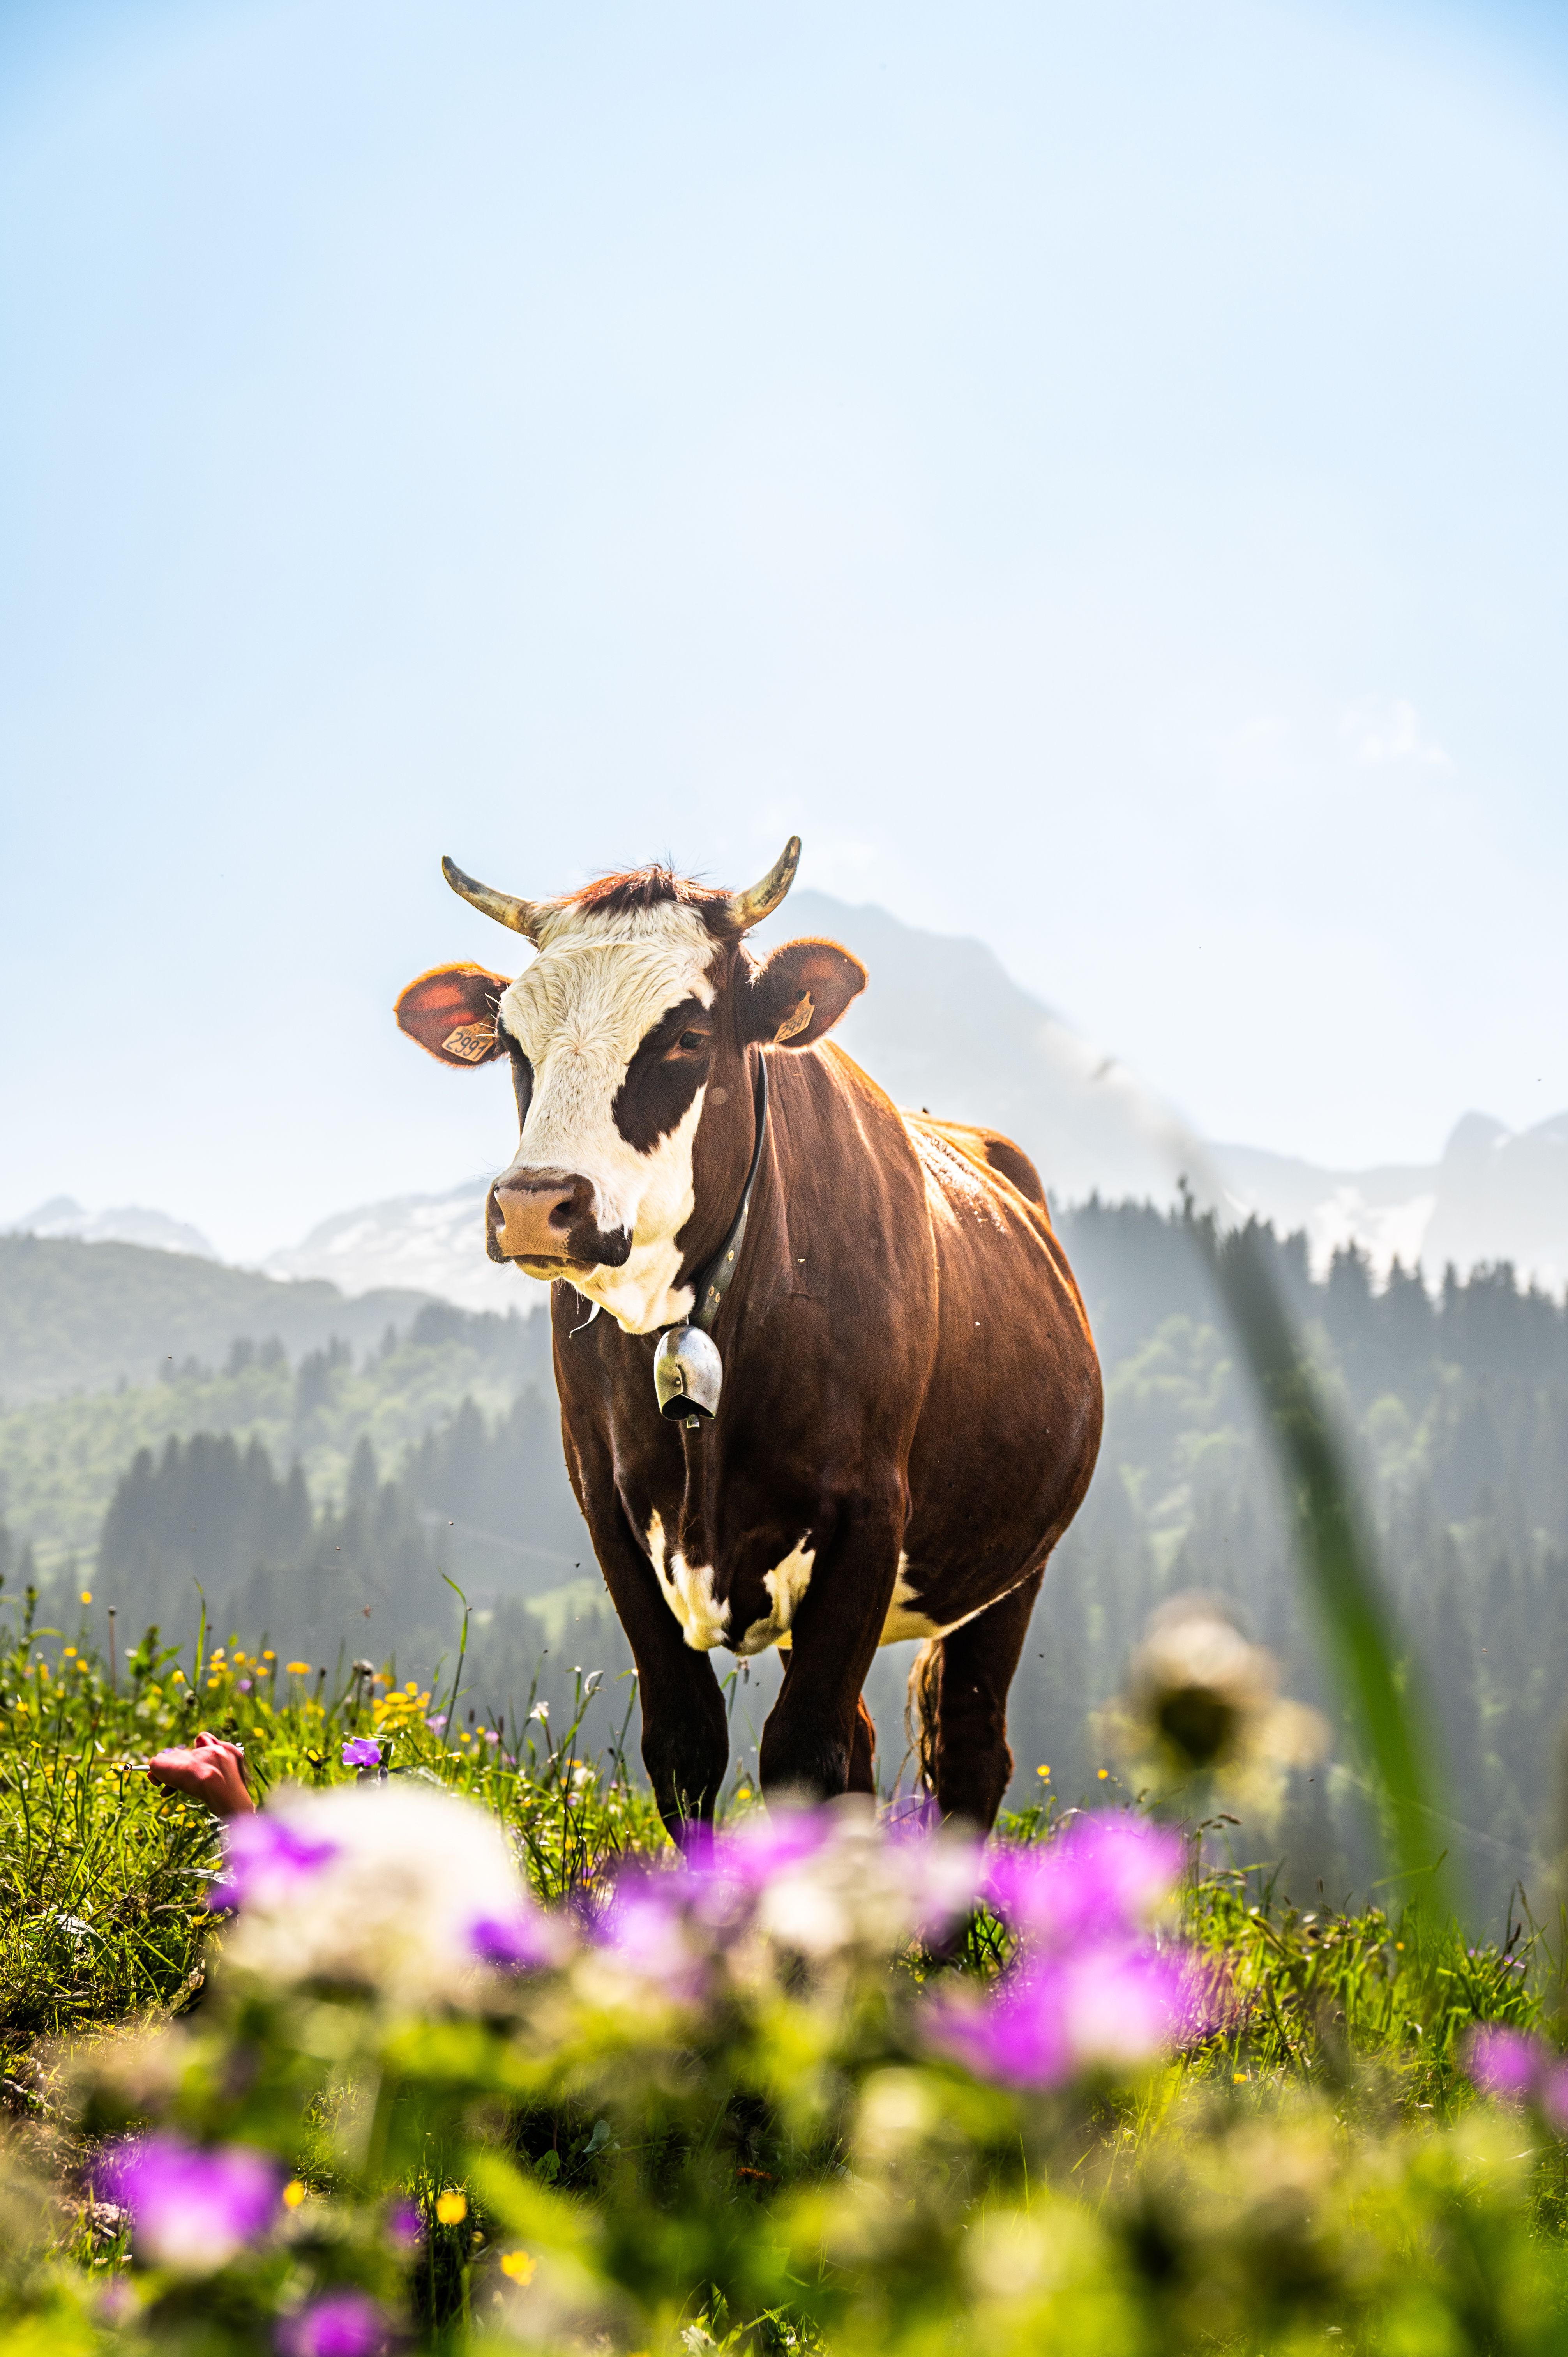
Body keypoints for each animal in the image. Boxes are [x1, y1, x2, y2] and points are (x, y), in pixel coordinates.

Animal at [394, 839, 1102, 1832]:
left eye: (686, 1038)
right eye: (511, 1044)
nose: (535, 1202)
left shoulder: (869, 1514)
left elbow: (804, 1754)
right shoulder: (610, 1511)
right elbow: (687, 1746)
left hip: (1013, 1567)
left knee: (964, 1755)